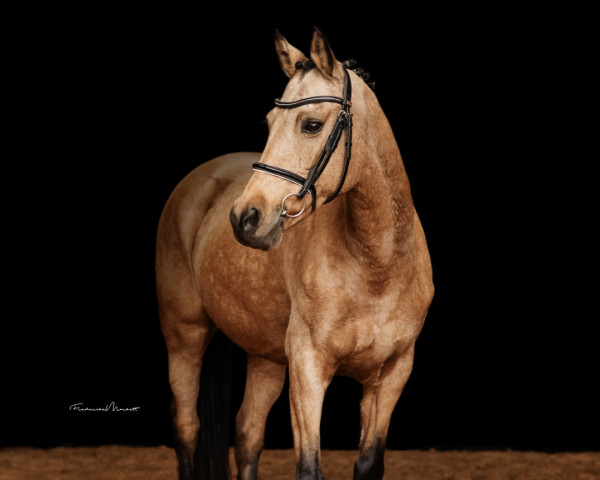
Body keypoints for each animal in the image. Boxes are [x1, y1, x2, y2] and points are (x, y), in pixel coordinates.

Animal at [157, 27, 434, 480]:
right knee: (187, 429)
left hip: (265, 359)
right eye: (269, 123)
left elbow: (368, 463)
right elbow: (308, 467)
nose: (245, 218)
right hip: (184, 335)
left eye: (311, 124)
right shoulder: (308, 367)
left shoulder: (392, 374)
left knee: (248, 435)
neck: (376, 268)